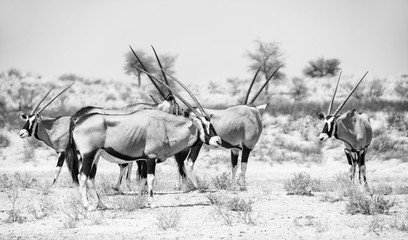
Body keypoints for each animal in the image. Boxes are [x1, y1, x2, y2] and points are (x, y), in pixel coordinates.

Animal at [65, 74, 222, 208]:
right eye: (204, 125)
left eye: (210, 123)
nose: (218, 141)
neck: (164, 126)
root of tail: (77, 123)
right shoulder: (151, 157)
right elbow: (150, 178)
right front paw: (151, 202)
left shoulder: (144, 160)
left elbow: (143, 179)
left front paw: (141, 199)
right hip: (88, 155)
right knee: (82, 176)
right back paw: (87, 206)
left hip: (95, 156)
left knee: (91, 177)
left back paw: (102, 205)